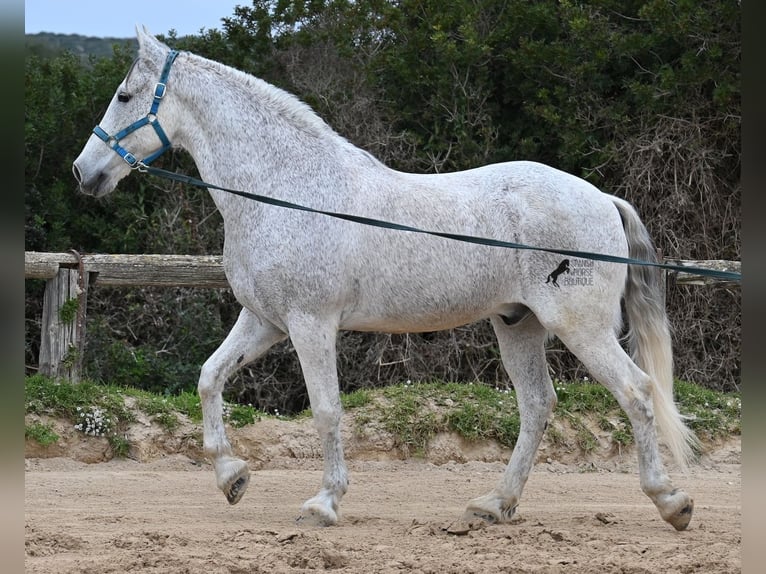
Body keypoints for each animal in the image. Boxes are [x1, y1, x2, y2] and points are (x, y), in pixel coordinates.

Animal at [73, 27, 704, 532]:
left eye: (125, 96)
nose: (84, 172)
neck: (289, 189)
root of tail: (603, 199)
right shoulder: (264, 322)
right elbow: (209, 378)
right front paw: (232, 477)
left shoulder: (310, 324)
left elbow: (326, 410)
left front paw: (324, 503)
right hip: (517, 325)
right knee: (537, 406)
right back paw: (494, 505)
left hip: (581, 327)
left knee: (637, 392)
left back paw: (671, 503)